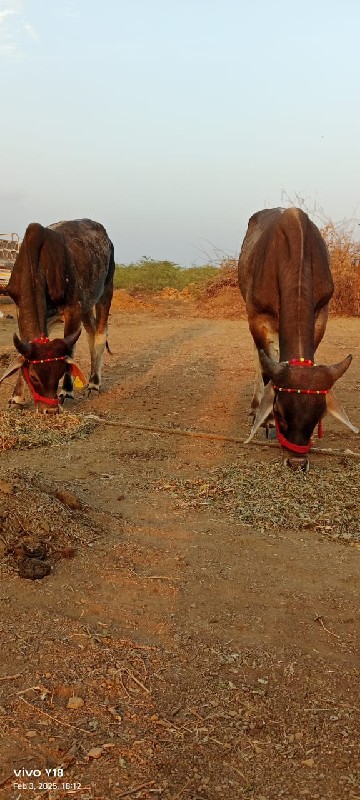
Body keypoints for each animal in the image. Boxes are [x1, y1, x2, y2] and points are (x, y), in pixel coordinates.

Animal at [0, 220, 114, 418]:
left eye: (60, 372)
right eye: (34, 376)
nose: (50, 410)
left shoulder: (73, 309)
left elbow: (70, 351)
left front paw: (67, 391)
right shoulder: (21, 306)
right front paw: (16, 398)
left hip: (105, 291)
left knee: (100, 336)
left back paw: (94, 383)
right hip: (85, 306)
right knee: (91, 334)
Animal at [238, 206, 358, 468]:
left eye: (319, 415)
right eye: (280, 412)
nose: (297, 462)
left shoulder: (321, 311)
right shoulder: (257, 316)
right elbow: (265, 366)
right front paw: (265, 421)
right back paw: (254, 407)